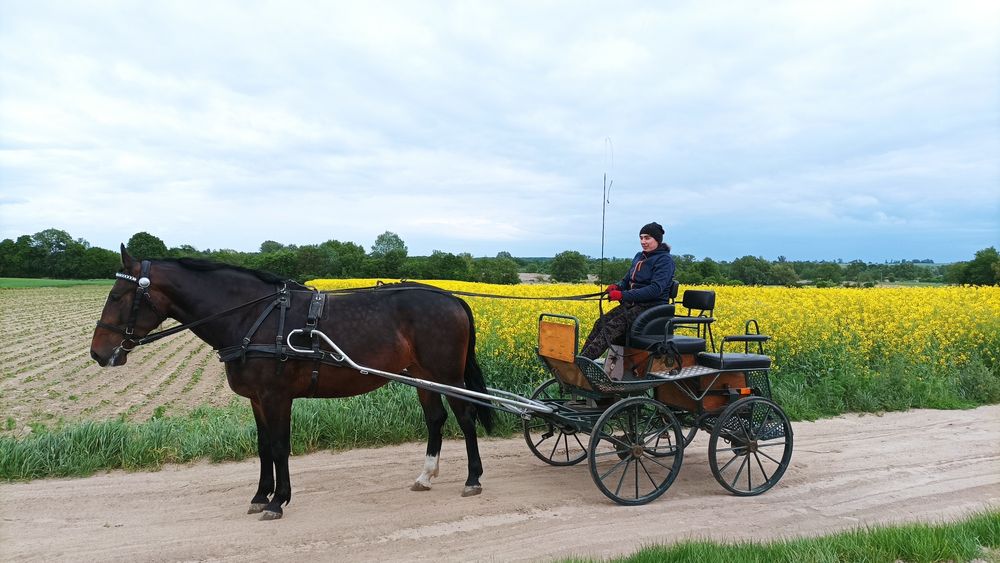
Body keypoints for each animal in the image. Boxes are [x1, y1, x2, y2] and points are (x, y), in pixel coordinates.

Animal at [89, 246, 492, 520]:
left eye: (118, 296)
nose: (98, 353)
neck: (255, 317)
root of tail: (451, 298)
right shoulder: (256, 399)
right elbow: (264, 447)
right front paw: (260, 496)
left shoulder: (276, 397)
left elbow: (281, 447)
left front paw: (278, 500)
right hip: (423, 376)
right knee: (436, 419)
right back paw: (426, 476)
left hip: (447, 376)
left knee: (466, 417)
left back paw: (473, 478)